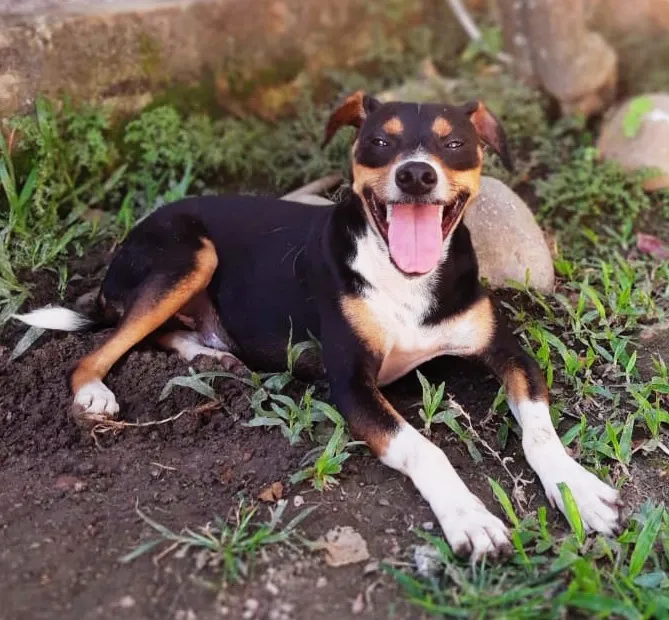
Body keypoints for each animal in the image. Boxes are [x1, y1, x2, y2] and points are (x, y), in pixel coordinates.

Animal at [14, 92, 622, 561]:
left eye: (454, 144)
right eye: (379, 142)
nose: (416, 174)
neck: (405, 278)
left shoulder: (507, 352)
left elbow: (539, 431)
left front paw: (578, 490)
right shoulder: (352, 385)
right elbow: (426, 449)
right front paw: (468, 516)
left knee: (160, 332)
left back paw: (209, 353)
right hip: (189, 255)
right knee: (100, 347)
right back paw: (94, 392)